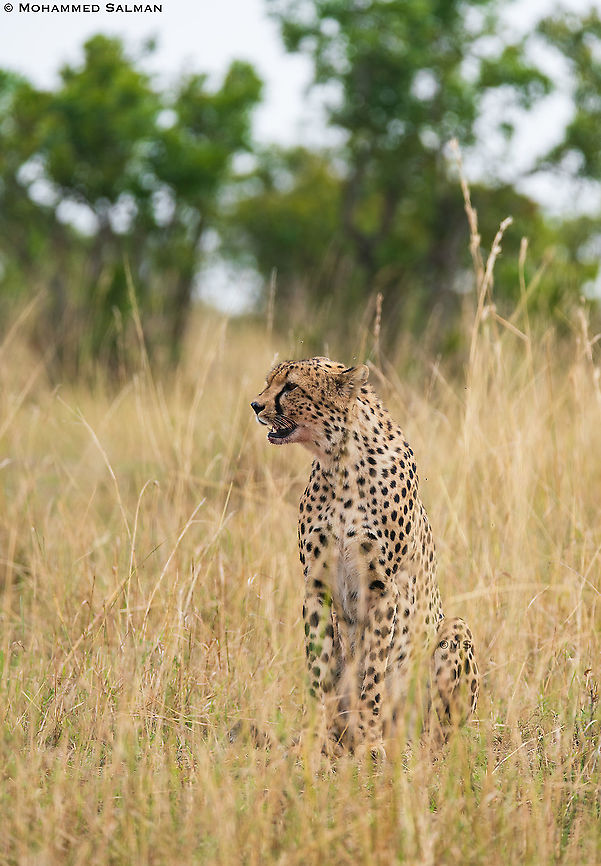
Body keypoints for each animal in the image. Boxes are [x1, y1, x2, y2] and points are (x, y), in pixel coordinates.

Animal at [251, 356, 479, 755]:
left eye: (290, 387)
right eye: (269, 382)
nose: (255, 405)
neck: (339, 461)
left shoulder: (382, 588)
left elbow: (372, 672)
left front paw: (371, 741)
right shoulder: (316, 586)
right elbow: (320, 670)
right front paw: (316, 740)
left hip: (455, 629)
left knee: (441, 731)